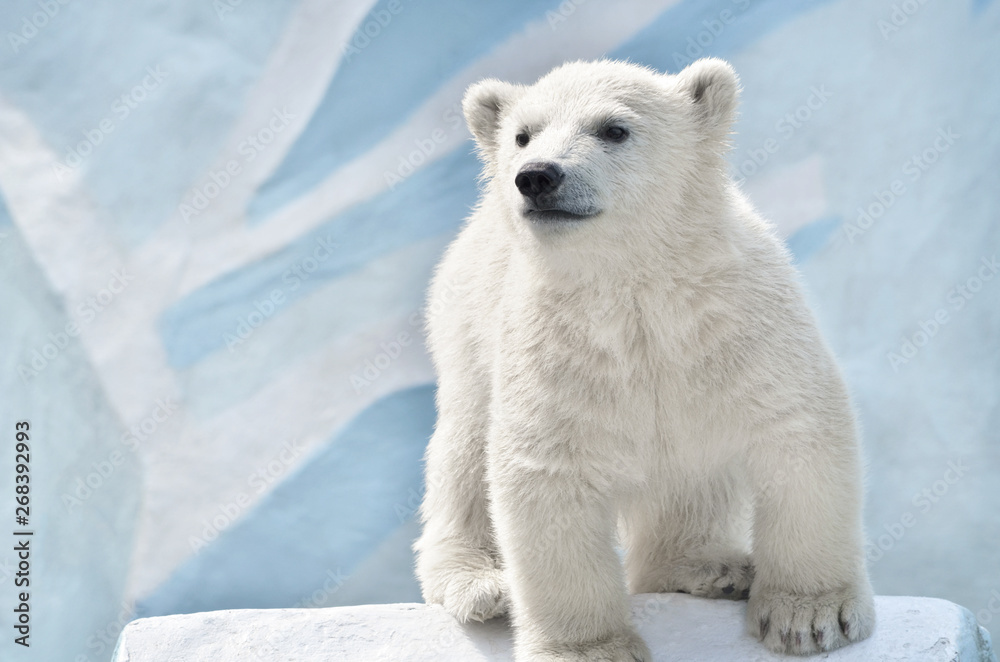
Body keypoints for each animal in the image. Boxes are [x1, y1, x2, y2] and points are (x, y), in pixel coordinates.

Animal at [413, 58, 875, 661]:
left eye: (614, 128)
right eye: (523, 134)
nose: (536, 176)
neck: (636, 286)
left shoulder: (743, 322)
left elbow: (797, 428)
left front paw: (813, 617)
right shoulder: (553, 349)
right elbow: (546, 473)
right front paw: (590, 648)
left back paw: (712, 566)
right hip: (465, 335)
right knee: (464, 457)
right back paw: (482, 584)